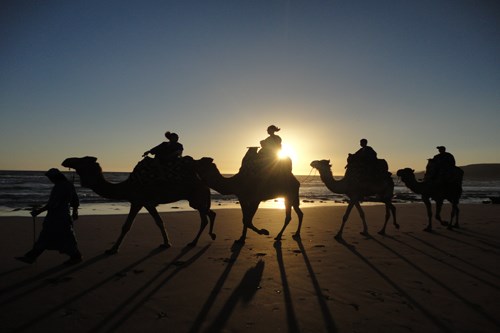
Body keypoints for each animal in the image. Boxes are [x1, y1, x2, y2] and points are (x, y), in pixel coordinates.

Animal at [61, 154, 216, 253]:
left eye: (83, 160)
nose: (66, 160)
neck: (127, 186)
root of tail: (204, 182)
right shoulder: (148, 203)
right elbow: (159, 222)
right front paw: (166, 243)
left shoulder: (137, 201)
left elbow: (126, 226)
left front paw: (113, 249)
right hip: (196, 199)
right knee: (209, 214)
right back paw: (203, 238)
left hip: (196, 198)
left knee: (205, 217)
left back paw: (197, 241)